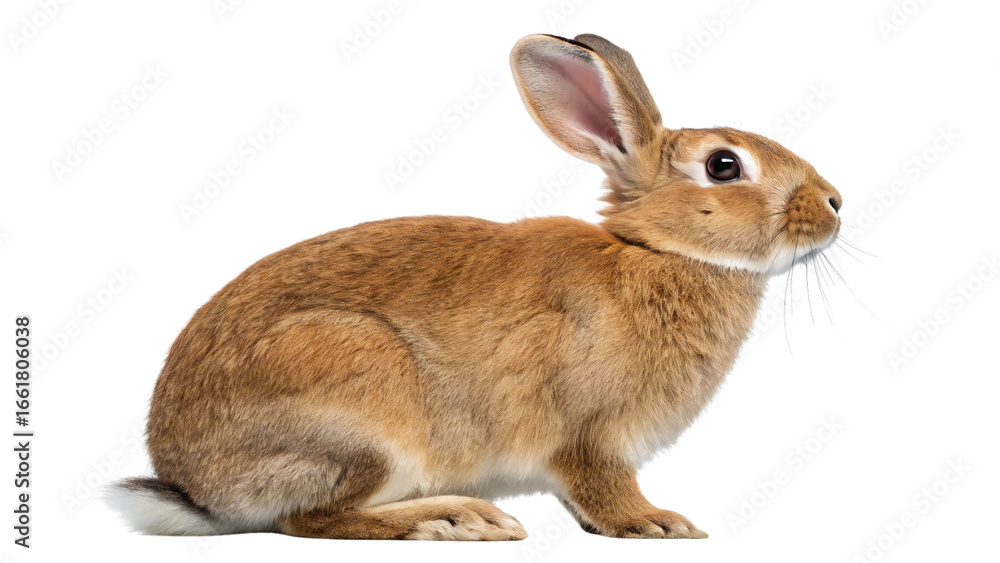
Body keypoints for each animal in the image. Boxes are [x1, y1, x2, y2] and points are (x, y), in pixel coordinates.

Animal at [108, 33, 842, 541]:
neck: (656, 254)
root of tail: (197, 488)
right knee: (314, 517)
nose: (835, 203)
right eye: (724, 166)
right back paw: (457, 520)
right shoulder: (591, 434)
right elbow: (605, 487)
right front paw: (658, 523)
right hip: (356, 401)